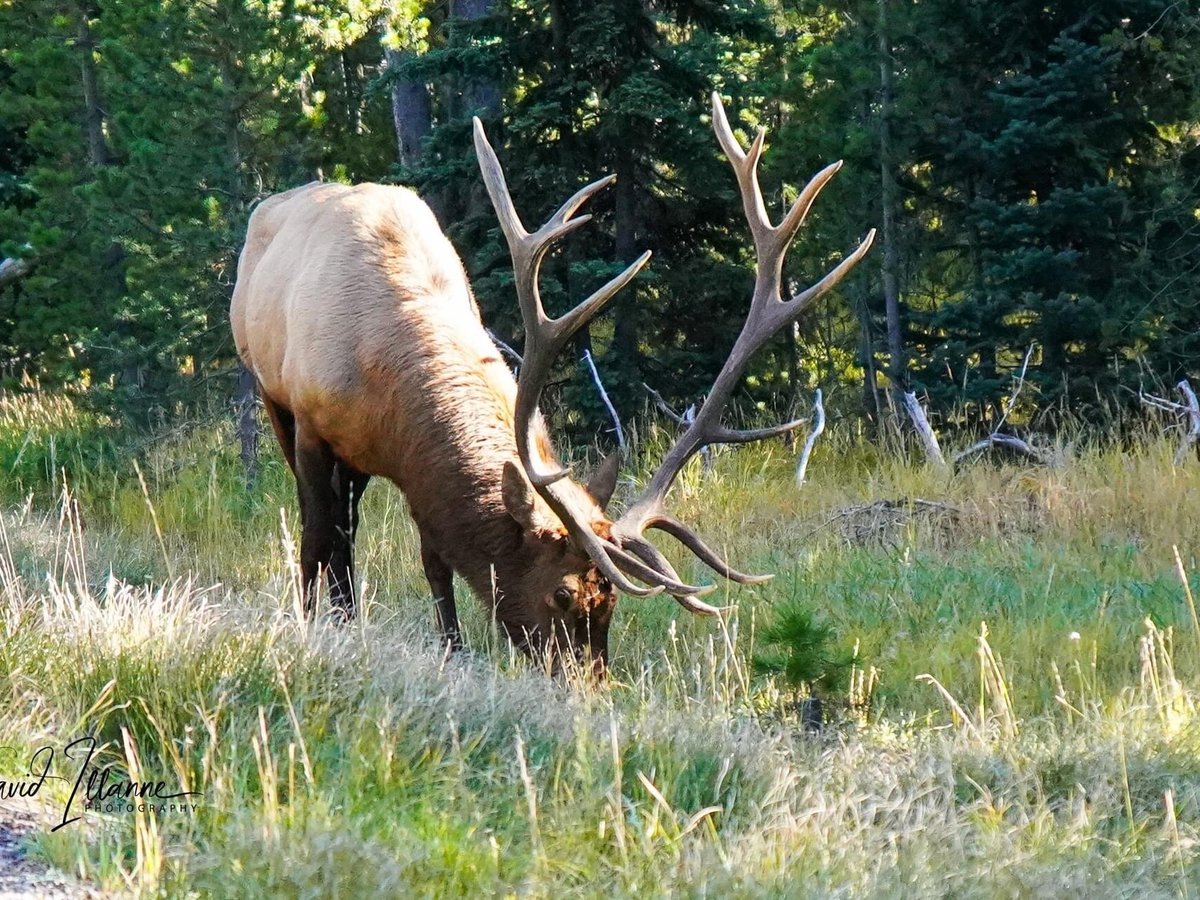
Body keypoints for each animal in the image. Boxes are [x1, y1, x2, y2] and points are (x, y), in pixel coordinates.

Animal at [231, 95, 873, 672]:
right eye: (562, 594)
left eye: (609, 600)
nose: (590, 685)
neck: (383, 378)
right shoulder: (312, 424)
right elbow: (317, 537)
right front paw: (312, 626)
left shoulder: (415, 469)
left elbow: (435, 561)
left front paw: (451, 651)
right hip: (271, 397)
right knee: (330, 530)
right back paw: (333, 613)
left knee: (352, 527)